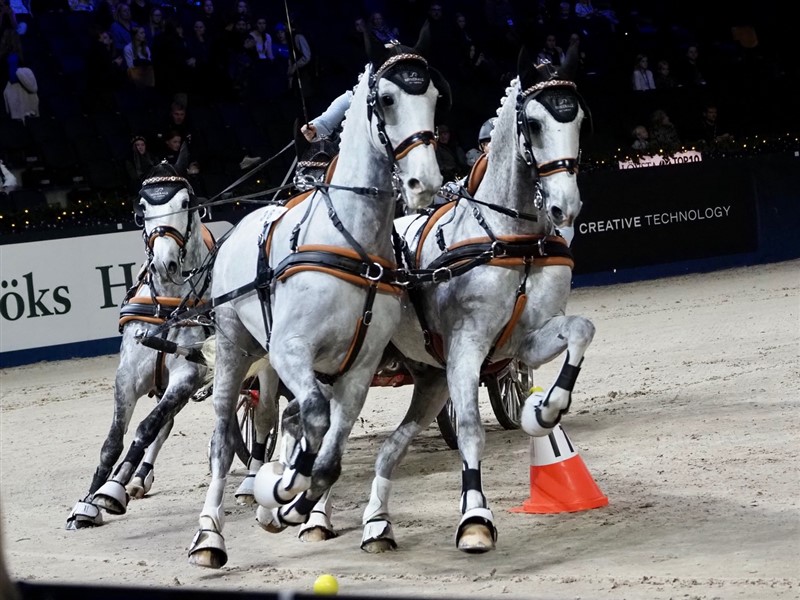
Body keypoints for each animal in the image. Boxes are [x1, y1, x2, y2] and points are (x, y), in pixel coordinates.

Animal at [67, 163, 214, 528]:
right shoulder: (128, 377)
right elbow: (113, 442)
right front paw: (87, 503)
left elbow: (147, 427)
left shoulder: (188, 374)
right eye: (143, 207)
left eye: (186, 202)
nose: (164, 263)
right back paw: (132, 479)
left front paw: (108, 492)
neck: (170, 307)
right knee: (166, 423)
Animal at [189, 31, 450, 568]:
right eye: (386, 99)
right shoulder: (292, 350)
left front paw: (294, 503)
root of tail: (241, 223)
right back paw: (209, 536)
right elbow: (310, 415)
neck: (350, 241)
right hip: (234, 345)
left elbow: (329, 453)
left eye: (434, 99)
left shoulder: (357, 368)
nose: (425, 184)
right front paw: (283, 487)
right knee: (224, 439)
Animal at [356, 47, 592, 552]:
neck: (509, 238)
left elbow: (581, 330)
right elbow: (469, 430)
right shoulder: (467, 347)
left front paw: (546, 410)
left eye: (580, 120)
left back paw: (376, 522)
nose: (565, 208)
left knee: (389, 445)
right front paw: (475, 518)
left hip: (428, 377)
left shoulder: (523, 344)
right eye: (535, 124)